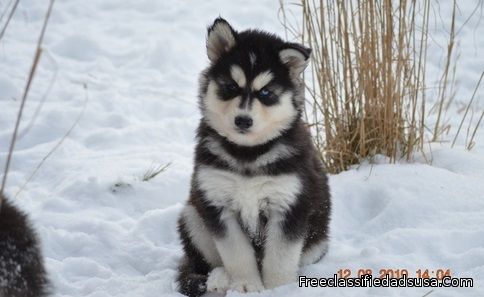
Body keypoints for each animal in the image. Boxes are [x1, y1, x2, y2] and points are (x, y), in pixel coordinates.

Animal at [176, 19, 330, 296]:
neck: (247, 152)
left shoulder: (289, 204)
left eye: (266, 93)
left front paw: (280, 288)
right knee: (205, 264)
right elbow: (236, 252)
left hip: (318, 243)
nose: (243, 120)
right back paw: (218, 279)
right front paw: (246, 284)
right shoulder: (218, 203)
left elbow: (280, 256)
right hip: (192, 216)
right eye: (230, 87)